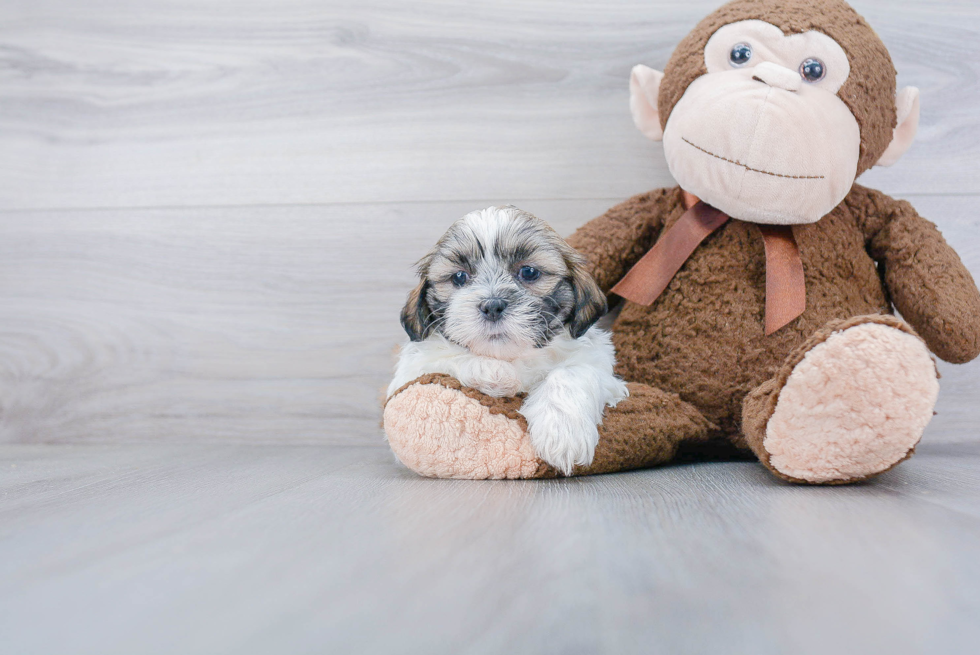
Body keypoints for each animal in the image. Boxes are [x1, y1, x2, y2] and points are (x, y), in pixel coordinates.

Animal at [388, 204, 628, 472]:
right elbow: (444, 357)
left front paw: (562, 432)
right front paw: (495, 373)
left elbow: (573, 372)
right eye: (459, 277)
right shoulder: (408, 372)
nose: (492, 305)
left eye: (529, 272)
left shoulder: (600, 365)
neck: (514, 356)